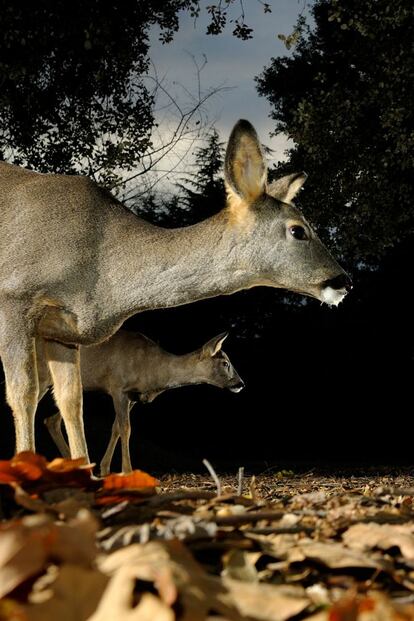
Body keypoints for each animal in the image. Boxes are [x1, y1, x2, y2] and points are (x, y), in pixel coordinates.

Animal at [38, 332, 243, 472]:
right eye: (225, 363)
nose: (240, 383)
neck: (152, 371)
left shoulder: (133, 398)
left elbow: (116, 428)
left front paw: (105, 469)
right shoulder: (118, 388)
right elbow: (125, 429)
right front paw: (127, 471)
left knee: (52, 420)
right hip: (44, 378)